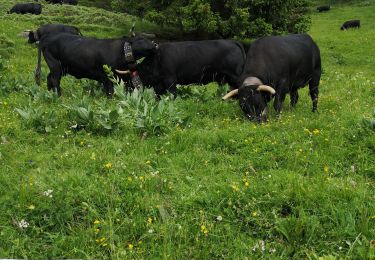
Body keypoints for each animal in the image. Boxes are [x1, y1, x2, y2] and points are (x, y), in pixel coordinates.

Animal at [117, 41, 247, 96]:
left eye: (127, 80)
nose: (125, 92)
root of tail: (233, 41)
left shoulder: (170, 79)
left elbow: (173, 95)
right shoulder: (160, 85)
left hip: (235, 75)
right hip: (223, 78)